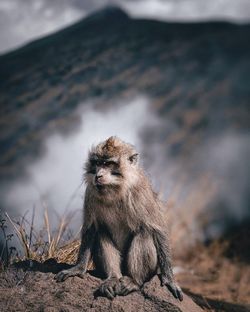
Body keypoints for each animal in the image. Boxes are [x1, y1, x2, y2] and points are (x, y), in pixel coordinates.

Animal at [54, 135, 183, 302]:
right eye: (97, 163)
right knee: (101, 233)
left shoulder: (140, 192)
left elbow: (157, 229)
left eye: (109, 164)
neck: (114, 189)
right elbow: (91, 229)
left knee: (144, 233)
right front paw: (78, 268)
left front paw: (169, 280)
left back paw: (134, 281)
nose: (98, 175)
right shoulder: (91, 192)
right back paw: (113, 278)